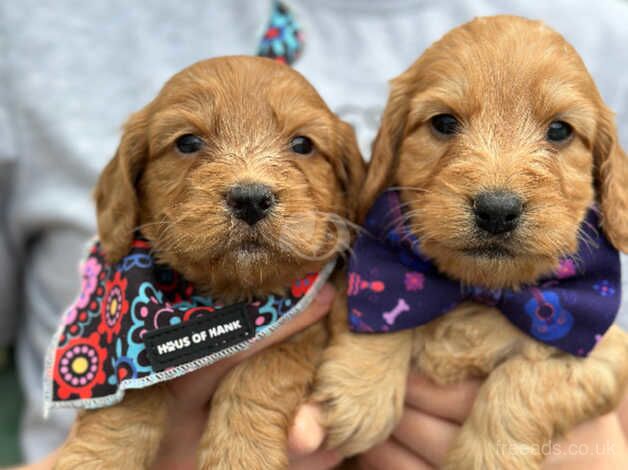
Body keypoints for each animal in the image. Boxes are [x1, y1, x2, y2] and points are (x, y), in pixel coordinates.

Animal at [55, 56, 366, 470]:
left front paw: (241, 455)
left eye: (303, 145)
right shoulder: (124, 353)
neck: (224, 299)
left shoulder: (305, 326)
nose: (251, 199)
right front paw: (95, 457)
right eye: (187, 143)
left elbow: (260, 371)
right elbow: (128, 391)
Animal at [314, 15, 628, 470]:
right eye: (444, 123)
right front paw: (360, 392)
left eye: (559, 130)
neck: (479, 292)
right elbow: (374, 315)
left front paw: (487, 456)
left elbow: (528, 377)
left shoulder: (601, 352)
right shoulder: (376, 278)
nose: (497, 210)